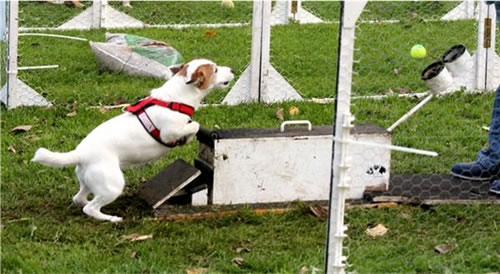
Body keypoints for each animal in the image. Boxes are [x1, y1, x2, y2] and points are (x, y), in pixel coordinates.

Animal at [32, 58, 235, 222]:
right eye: (215, 69)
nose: (233, 70)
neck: (176, 98)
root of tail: (80, 153)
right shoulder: (169, 132)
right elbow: (194, 125)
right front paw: (188, 137)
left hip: (90, 182)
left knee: (79, 199)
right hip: (112, 185)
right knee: (89, 208)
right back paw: (111, 218)